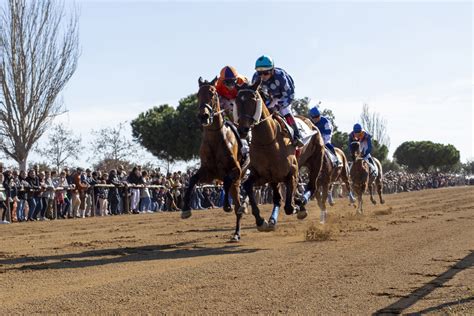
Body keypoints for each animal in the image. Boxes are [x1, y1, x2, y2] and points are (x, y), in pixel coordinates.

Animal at [181, 76, 246, 242]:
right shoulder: (208, 172)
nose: (203, 116)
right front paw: (185, 210)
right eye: (198, 94)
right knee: (238, 204)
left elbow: (227, 180)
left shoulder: (236, 169)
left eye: (212, 93)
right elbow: (192, 180)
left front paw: (227, 205)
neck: (215, 139)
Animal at [234, 78, 324, 232]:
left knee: (312, 187)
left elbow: (289, 207)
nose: (243, 130)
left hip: (316, 160)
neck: (268, 141)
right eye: (237, 101)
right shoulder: (263, 176)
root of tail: (311, 123)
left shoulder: (291, 173)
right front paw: (260, 221)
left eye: (253, 99)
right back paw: (273, 218)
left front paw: (297, 204)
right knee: (278, 198)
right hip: (276, 178)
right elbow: (248, 186)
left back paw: (301, 202)